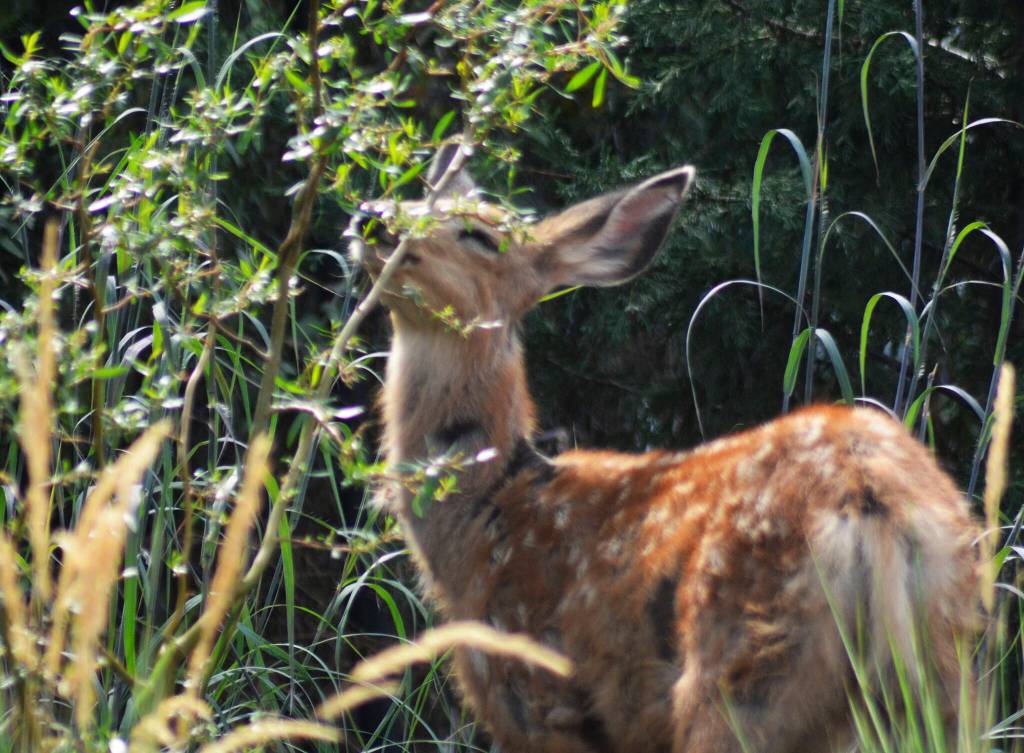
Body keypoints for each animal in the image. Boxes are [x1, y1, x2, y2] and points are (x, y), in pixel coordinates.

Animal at [347, 148, 980, 753]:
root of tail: (871, 510)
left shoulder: (539, 703)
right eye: (414, 196)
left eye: (480, 234)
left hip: (744, 673)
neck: (489, 508)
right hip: (946, 681)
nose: (371, 216)